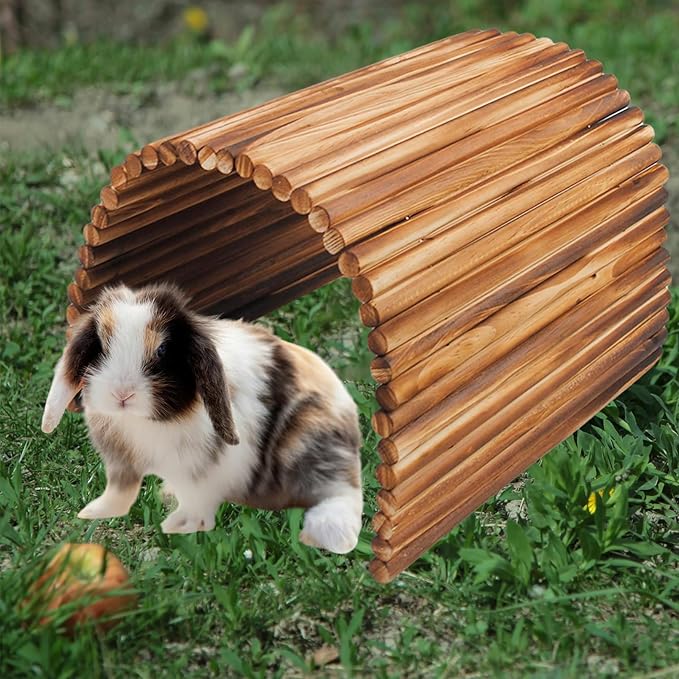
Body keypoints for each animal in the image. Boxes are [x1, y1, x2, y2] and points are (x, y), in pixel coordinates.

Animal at [41, 283, 363, 554]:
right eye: (101, 345)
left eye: (163, 349)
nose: (122, 394)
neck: (146, 423)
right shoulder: (122, 463)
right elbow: (120, 491)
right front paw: (93, 512)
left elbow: (197, 498)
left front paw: (180, 526)